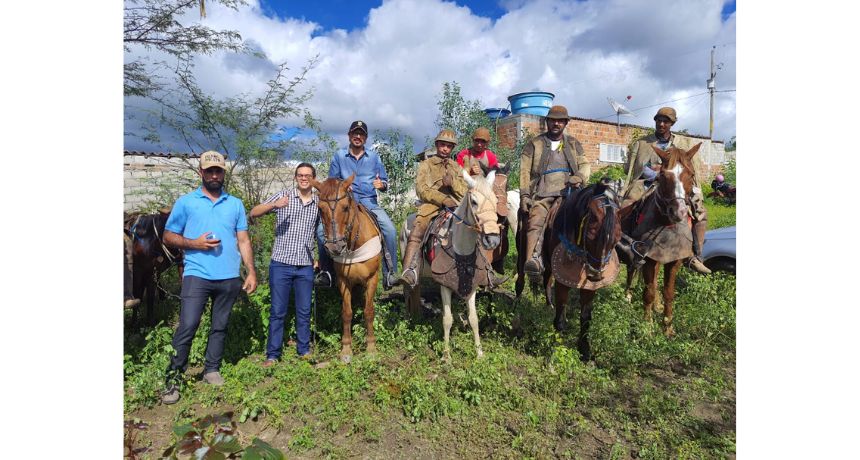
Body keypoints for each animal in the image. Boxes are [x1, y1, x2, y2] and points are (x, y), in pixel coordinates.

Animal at [312, 173, 382, 362]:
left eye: (345, 207)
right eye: (320, 209)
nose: (335, 247)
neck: (353, 244)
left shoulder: (372, 279)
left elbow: (368, 311)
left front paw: (371, 348)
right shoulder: (343, 281)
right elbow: (346, 312)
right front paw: (346, 349)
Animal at [540, 178, 620, 362]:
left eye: (615, 239)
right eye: (591, 236)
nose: (596, 275)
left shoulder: (589, 286)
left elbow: (586, 317)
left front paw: (584, 350)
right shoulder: (562, 279)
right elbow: (560, 317)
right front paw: (557, 348)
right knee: (546, 279)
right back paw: (548, 305)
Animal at [620, 144, 704, 338]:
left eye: (691, 175)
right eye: (663, 176)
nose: (678, 212)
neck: (666, 224)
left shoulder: (674, 260)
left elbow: (669, 292)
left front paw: (667, 326)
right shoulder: (649, 258)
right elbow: (649, 292)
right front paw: (647, 326)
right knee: (632, 271)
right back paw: (628, 295)